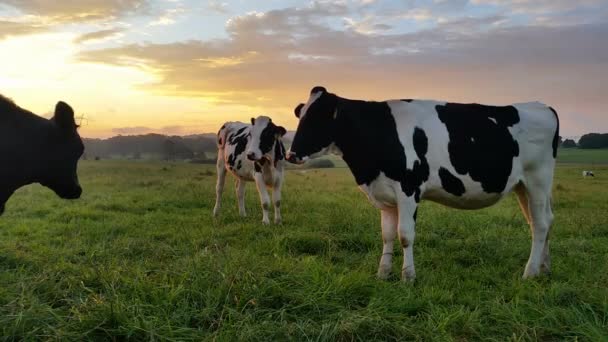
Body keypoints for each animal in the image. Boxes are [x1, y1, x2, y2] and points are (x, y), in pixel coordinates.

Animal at [288, 87, 560, 282]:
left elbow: (405, 235)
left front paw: (408, 277)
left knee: (540, 224)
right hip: (522, 185)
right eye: (301, 116)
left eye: (318, 118)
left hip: (538, 178)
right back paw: (544, 268)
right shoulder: (384, 193)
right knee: (542, 221)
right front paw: (382, 274)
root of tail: (542, 106)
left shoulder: (409, 189)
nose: (290, 155)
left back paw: (529, 272)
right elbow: (387, 235)